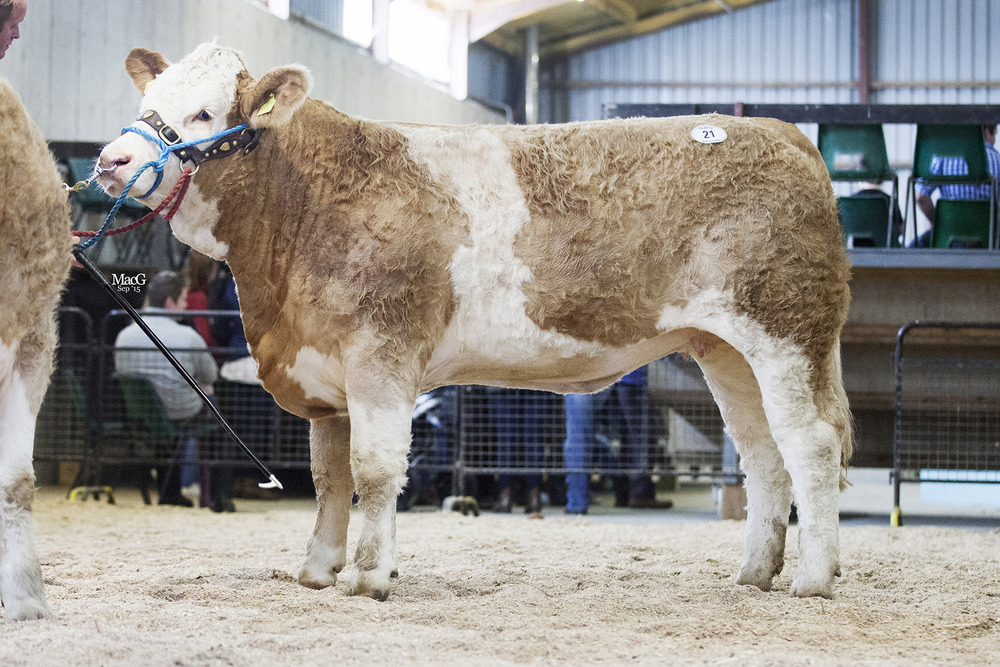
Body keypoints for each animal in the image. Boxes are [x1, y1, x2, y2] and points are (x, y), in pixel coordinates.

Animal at [95, 44, 852, 604]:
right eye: (145, 104)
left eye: (202, 112)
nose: (112, 160)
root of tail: (782, 132)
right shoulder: (326, 370)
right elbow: (330, 476)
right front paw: (317, 569)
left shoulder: (381, 354)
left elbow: (375, 469)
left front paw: (368, 575)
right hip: (725, 349)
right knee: (763, 455)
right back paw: (754, 573)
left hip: (786, 334)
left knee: (811, 445)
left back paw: (812, 580)